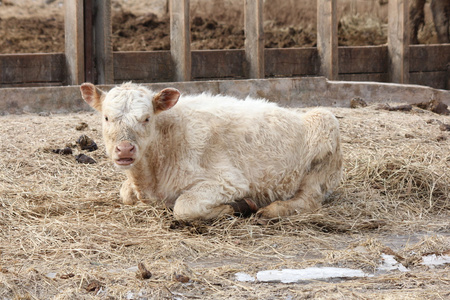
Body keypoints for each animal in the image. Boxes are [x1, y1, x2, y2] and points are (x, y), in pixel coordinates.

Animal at [81, 82, 342, 220]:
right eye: (106, 117)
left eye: (146, 118)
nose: (125, 149)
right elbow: (125, 193)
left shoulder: (229, 182)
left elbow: (184, 206)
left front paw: (236, 207)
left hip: (324, 131)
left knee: (309, 200)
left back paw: (271, 209)